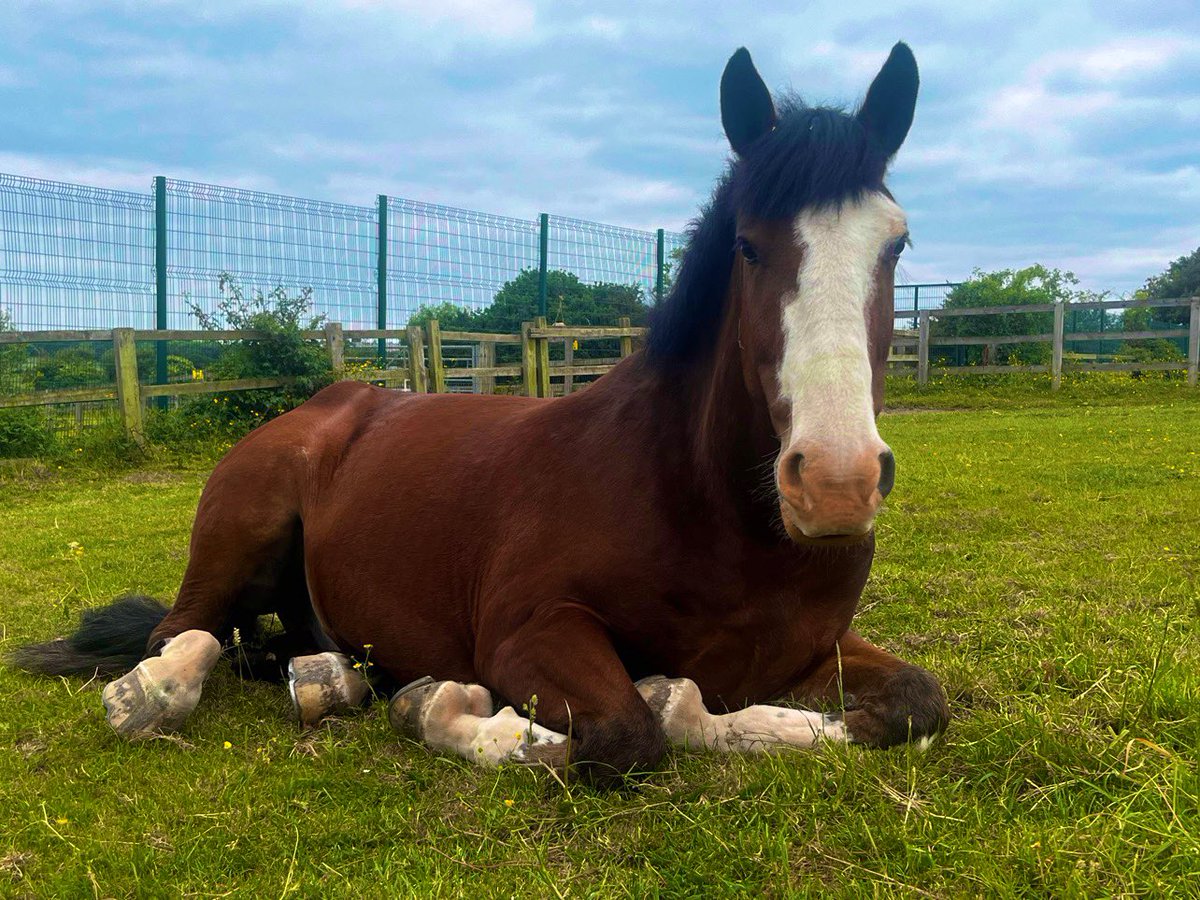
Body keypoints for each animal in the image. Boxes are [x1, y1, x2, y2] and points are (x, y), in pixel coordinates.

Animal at [11, 42, 949, 778]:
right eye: (749, 246)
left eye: (896, 244)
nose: (834, 484)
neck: (708, 513)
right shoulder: (524, 635)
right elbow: (625, 733)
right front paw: (440, 707)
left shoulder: (807, 654)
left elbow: (917, 703)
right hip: (240, 536)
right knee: (182, 634)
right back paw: (154, 692)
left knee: (265, 648)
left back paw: (328, 678)